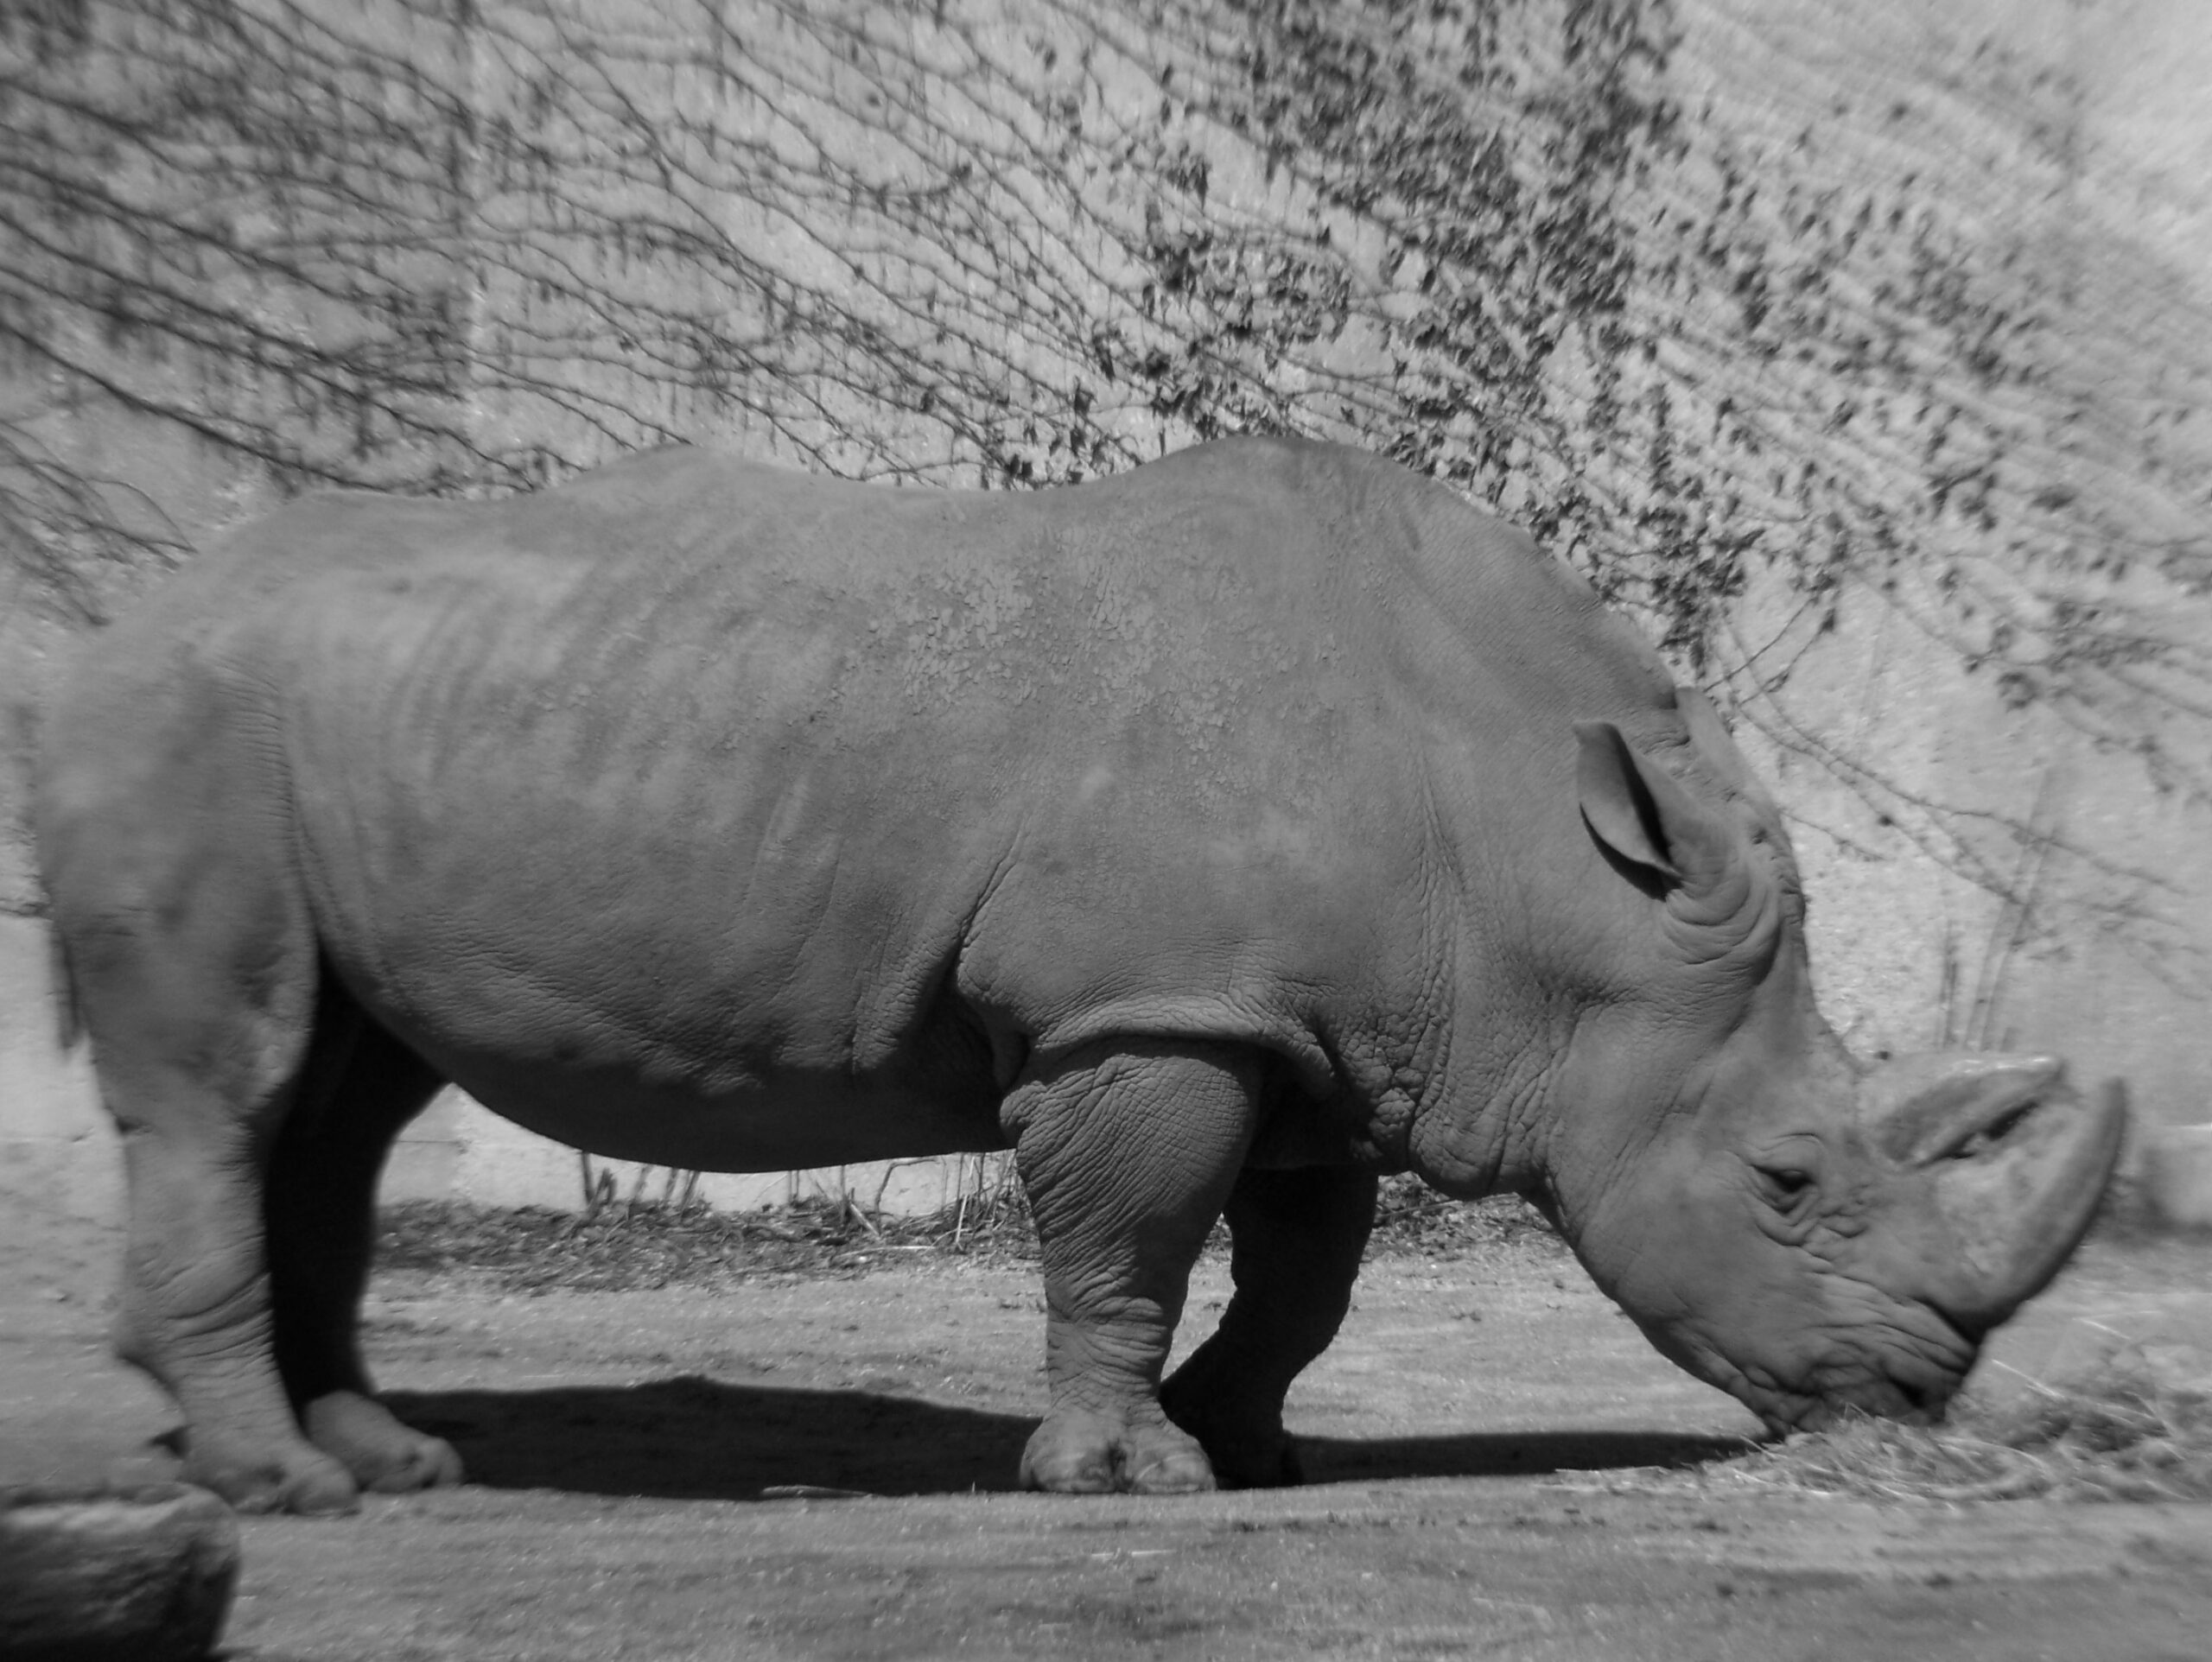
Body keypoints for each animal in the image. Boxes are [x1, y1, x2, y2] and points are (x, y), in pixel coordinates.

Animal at [33, 437, 2123, 1513]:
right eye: (1789, 1181)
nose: (1921, 1396)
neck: (1534, 855)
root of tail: (129, 611)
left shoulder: (1316, 1024)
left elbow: (1304, 1269)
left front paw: (1253, 1444)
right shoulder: (1152, 1008)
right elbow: (1132, 1234)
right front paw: (1132, 1475)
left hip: (342, 736)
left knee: (343, 1103)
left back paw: (391, 1459)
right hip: (190, 724)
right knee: (232, 1087)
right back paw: (279, 1488)